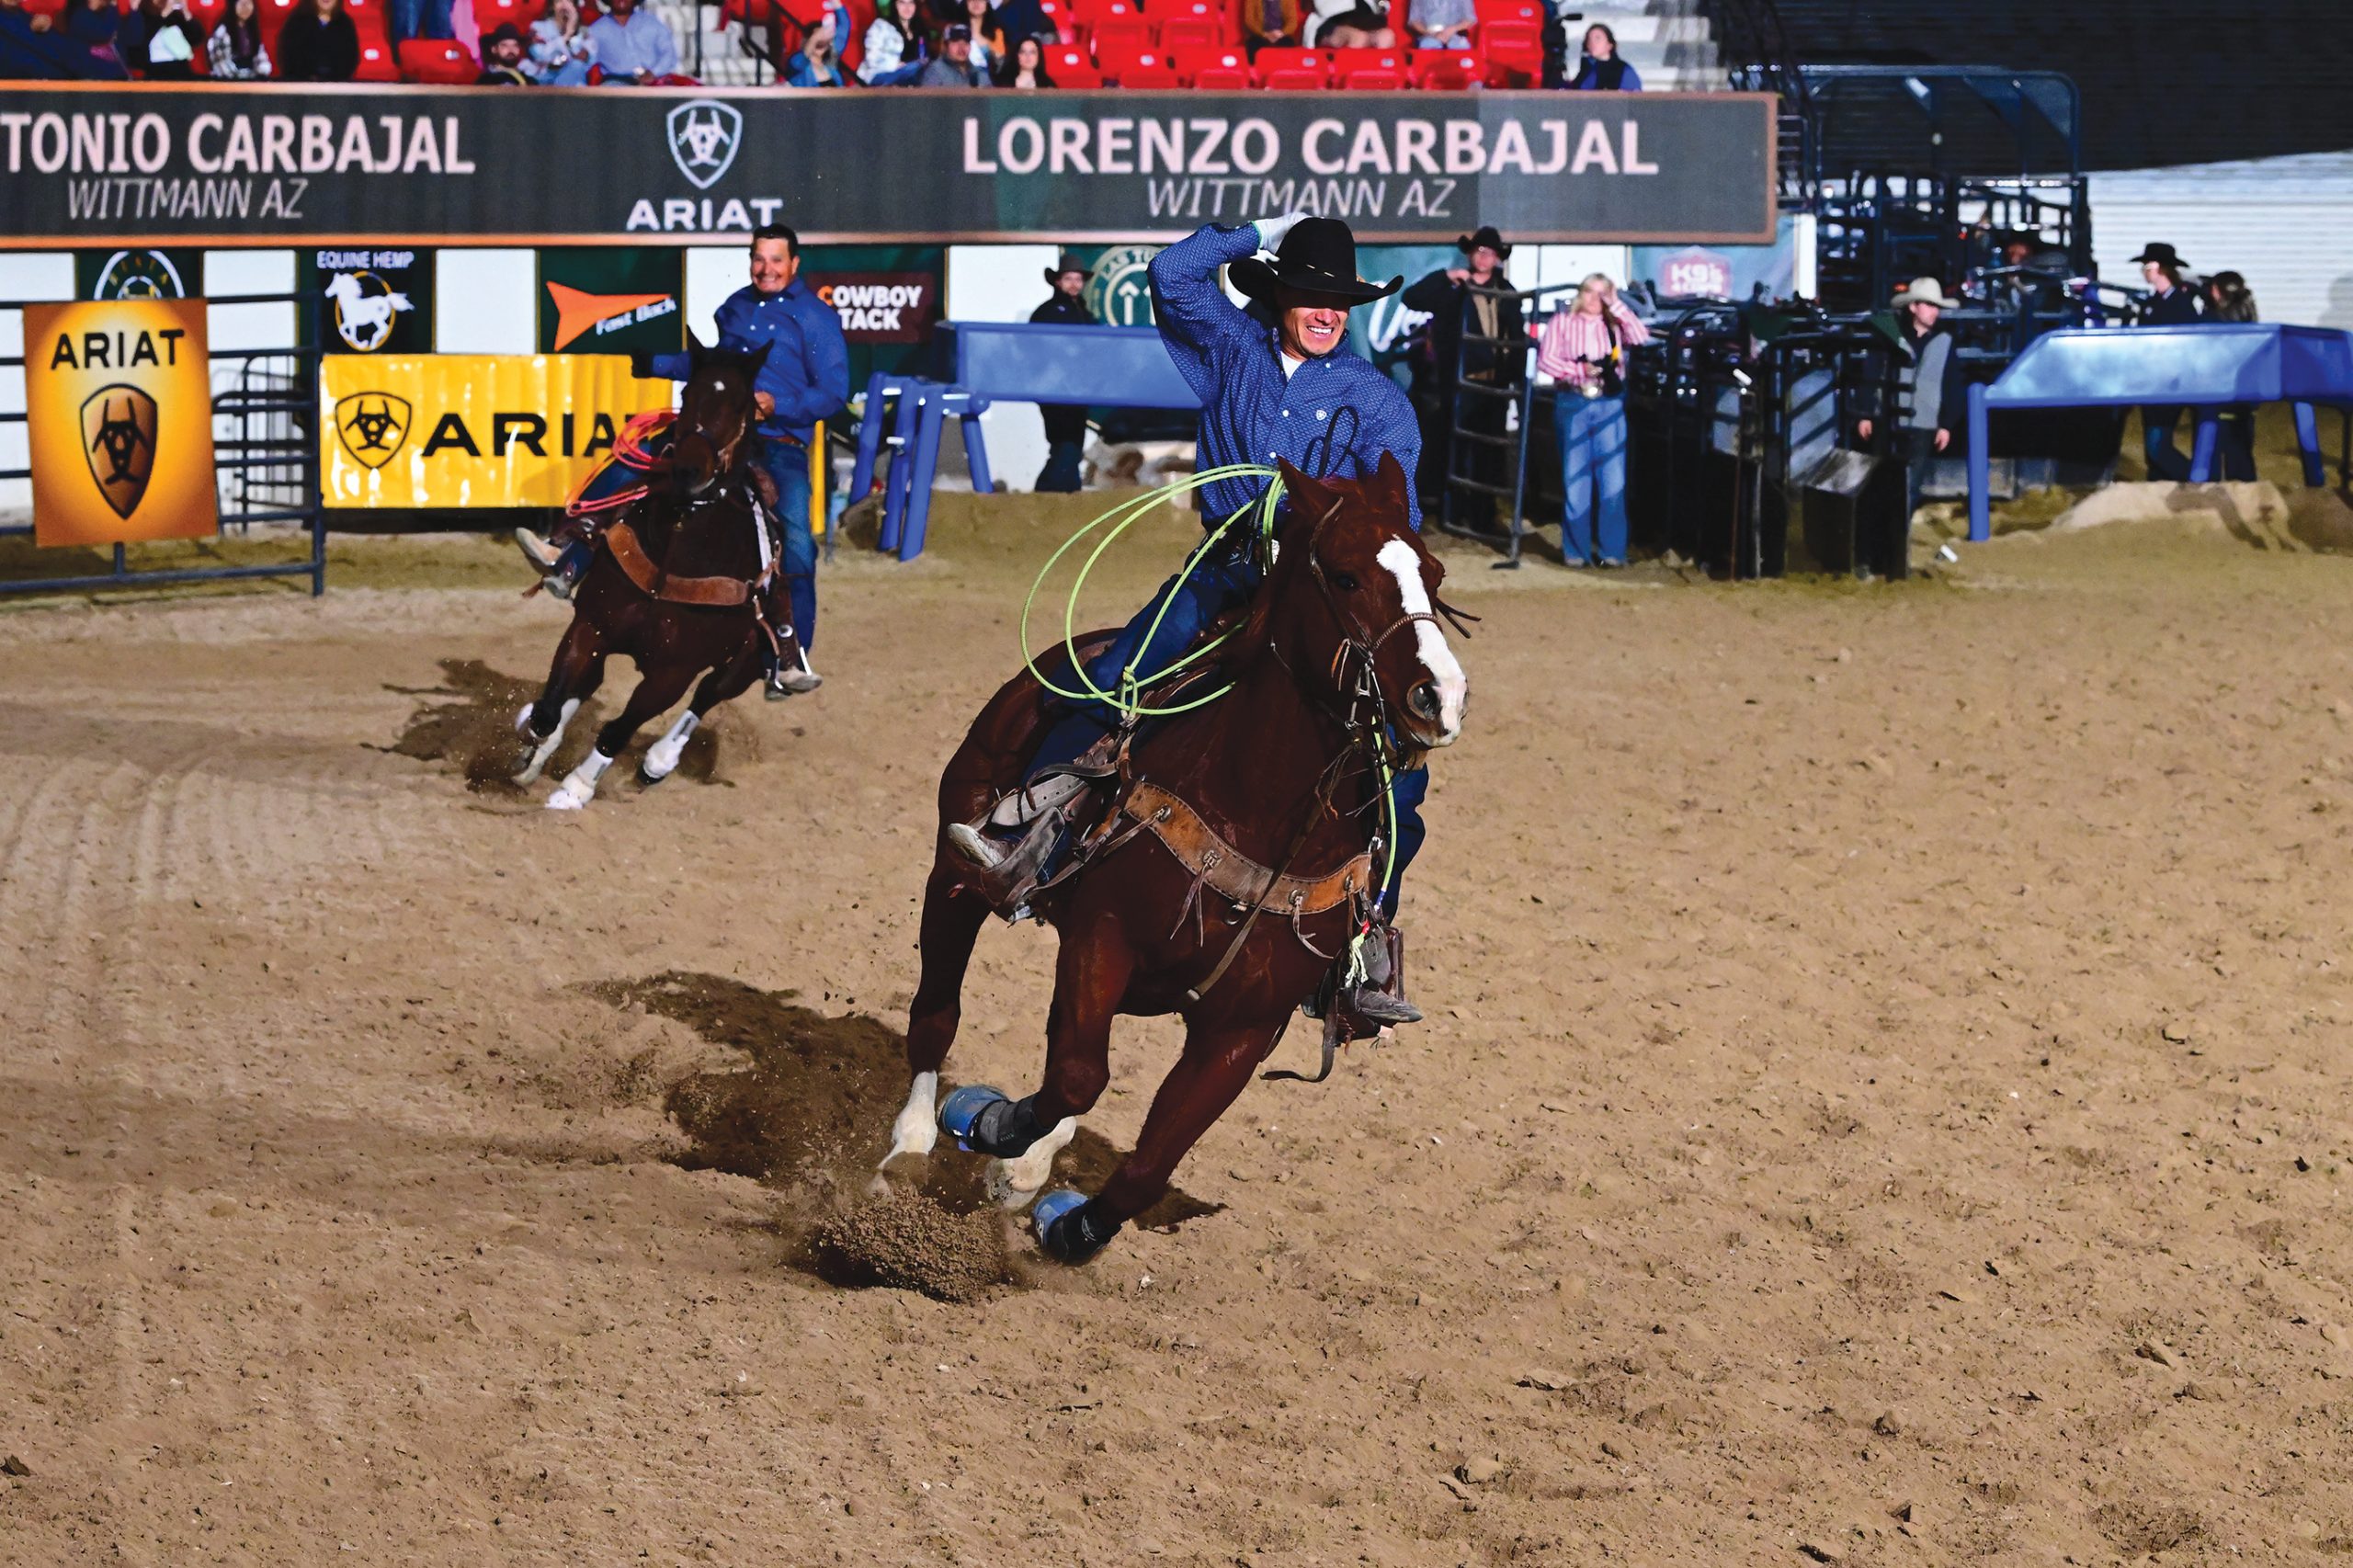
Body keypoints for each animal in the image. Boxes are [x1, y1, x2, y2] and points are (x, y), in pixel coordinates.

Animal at [507, 338, 795, 805]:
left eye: (740, 405)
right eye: (687, 394)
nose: (689, 469)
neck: (678, 550)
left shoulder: (672, 673)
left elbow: (618, 730)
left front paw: (576, 788)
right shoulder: (591, 627)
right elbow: (550, 708)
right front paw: (530, 745)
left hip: (747, 661)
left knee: (707, 696)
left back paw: (658, 762)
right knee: (585, 688)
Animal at [884, 451, 1468, 1261]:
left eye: (1435, 575)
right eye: (1347, 577)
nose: (1438, 698)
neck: (1261, 815)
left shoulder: (1244, 1030)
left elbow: (1150, 1161)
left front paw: (1064, 1220)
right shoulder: (1102, 939)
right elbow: (1075, 1076)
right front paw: (993, 1124)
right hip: (955, 878)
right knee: (938, 1012)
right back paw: (911, 1143)